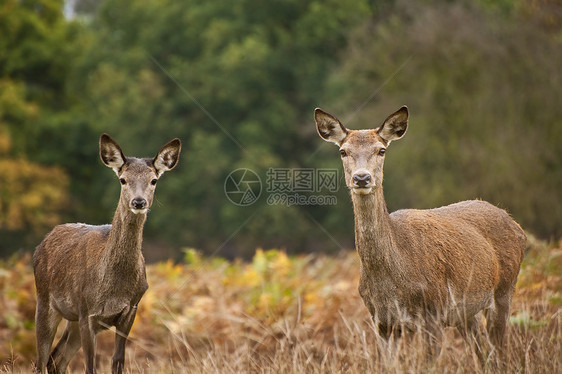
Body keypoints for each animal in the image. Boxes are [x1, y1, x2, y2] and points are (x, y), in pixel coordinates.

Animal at [32, 133, 180, 372]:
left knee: (56, 359)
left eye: (153, 180)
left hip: (72, 320)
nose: (139, 202)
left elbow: (117, 361)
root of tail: (42, 244)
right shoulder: (87, 311)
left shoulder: (130, 310)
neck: (114, 288)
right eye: (123, 180)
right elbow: (90, 366)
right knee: (41, 361)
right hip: (45, 301)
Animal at [312, 105, 524, 348]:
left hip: (504, 290)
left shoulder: (433, 313)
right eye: (343, 151)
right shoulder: (382, 322)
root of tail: (516, 225)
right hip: (467, 312)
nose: (362, 178)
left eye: (381, 150)